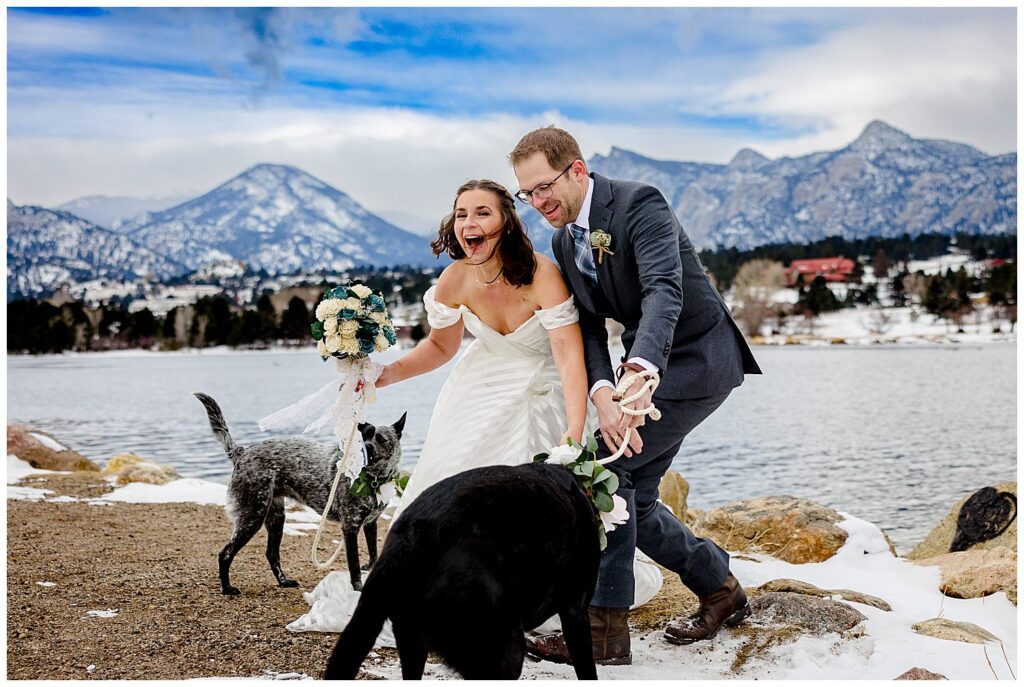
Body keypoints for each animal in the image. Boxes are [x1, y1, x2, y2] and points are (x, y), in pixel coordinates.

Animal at [193, 392, 405, 595]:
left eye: (381, 439)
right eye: (362, 438)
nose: (365, 448)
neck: (373, 479)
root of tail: (242, 453)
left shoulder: (370, 523)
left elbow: (373, 554)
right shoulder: (350, 527)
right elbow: (354, 567)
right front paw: (358, 589)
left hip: (276, 518)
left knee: (271, 554)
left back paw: (283, 581)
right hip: (252, 517)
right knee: (225, 554)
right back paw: (227, 588)